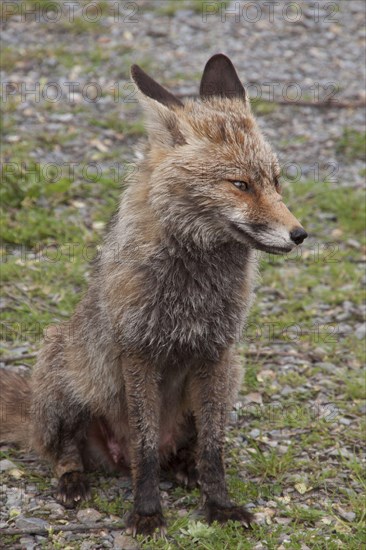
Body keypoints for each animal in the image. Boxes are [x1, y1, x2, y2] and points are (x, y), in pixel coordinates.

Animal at [0, 55, 308, 540]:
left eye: (275, 182)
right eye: (240, 184)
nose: (299, 234)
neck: (192, 290)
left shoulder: (216, 353)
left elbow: (214, 450)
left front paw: (218, 505)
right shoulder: (138, 353)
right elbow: (143, 450)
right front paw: (146, 513)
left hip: (231, 377)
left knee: (187, 447)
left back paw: (183, 467)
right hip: (62, 382)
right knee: (63, 452)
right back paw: (73, 480)